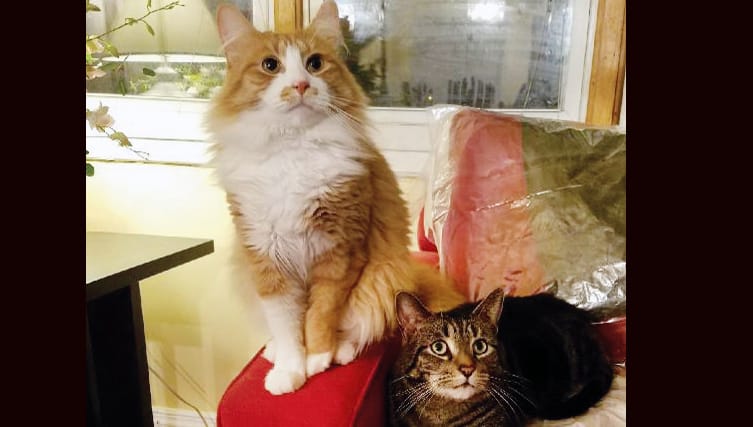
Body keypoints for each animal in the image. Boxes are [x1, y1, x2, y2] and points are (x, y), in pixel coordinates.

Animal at [206, 0, 465, 395]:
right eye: (270, 65)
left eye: (314, 63)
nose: (300, 84)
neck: (293, 151)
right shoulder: (267, 260)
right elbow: (287, 324)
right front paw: (289, 369)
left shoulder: (338, 253)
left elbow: (321, 314)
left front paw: (317, 357)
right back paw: (274, 352)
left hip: (384, 274)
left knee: (360, 326)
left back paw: (340, 351)